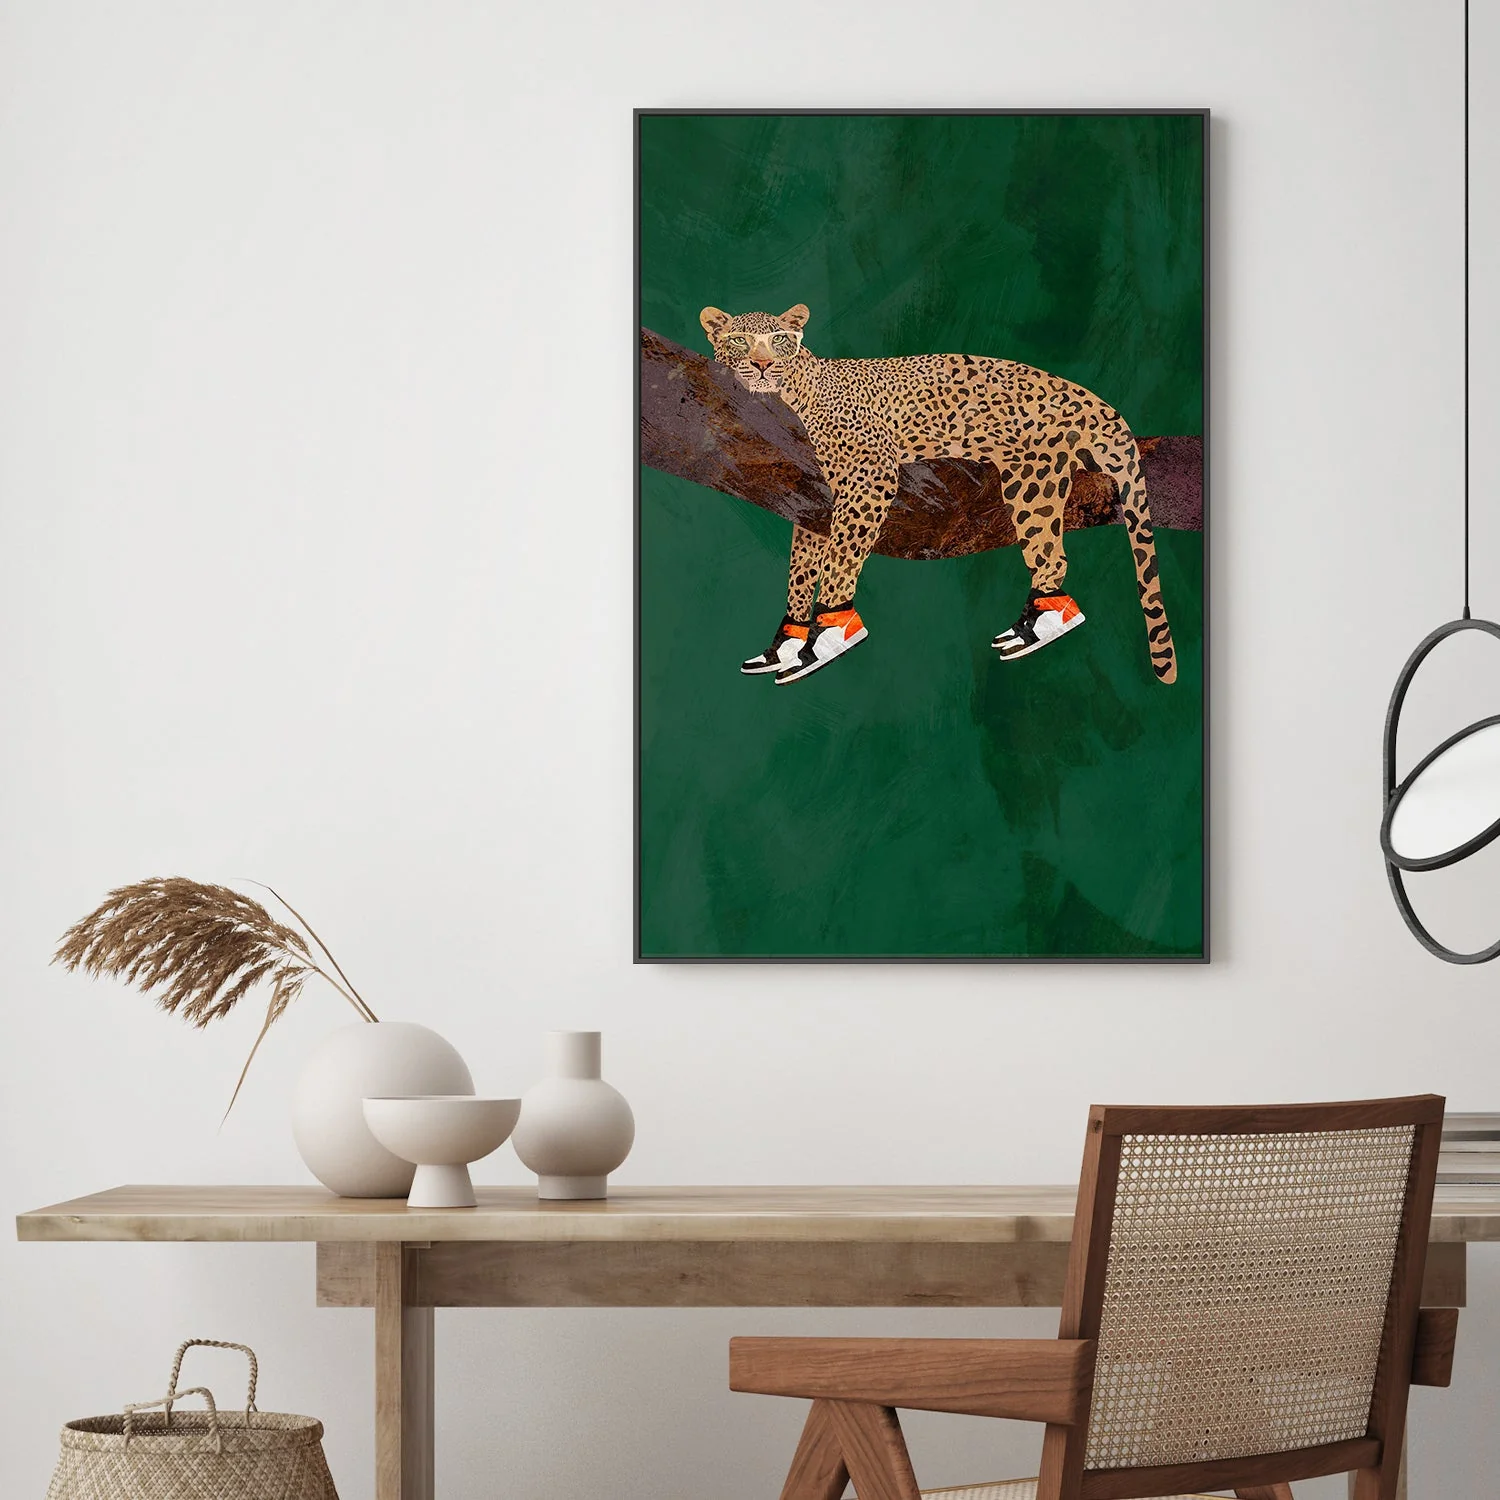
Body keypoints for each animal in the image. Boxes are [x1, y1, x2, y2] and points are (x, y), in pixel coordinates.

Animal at [699, 303, 1176, 687]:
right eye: (739, 340)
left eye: (779, 340)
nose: (762, 365)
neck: (794, 392)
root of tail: (1095, 401)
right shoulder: (812, 496)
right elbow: (802, 570)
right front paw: (786, 645)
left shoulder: (871, 474)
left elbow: (839, 558)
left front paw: (827, 635)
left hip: (1031, 477)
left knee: (1051, 554)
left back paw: (1041, 625)